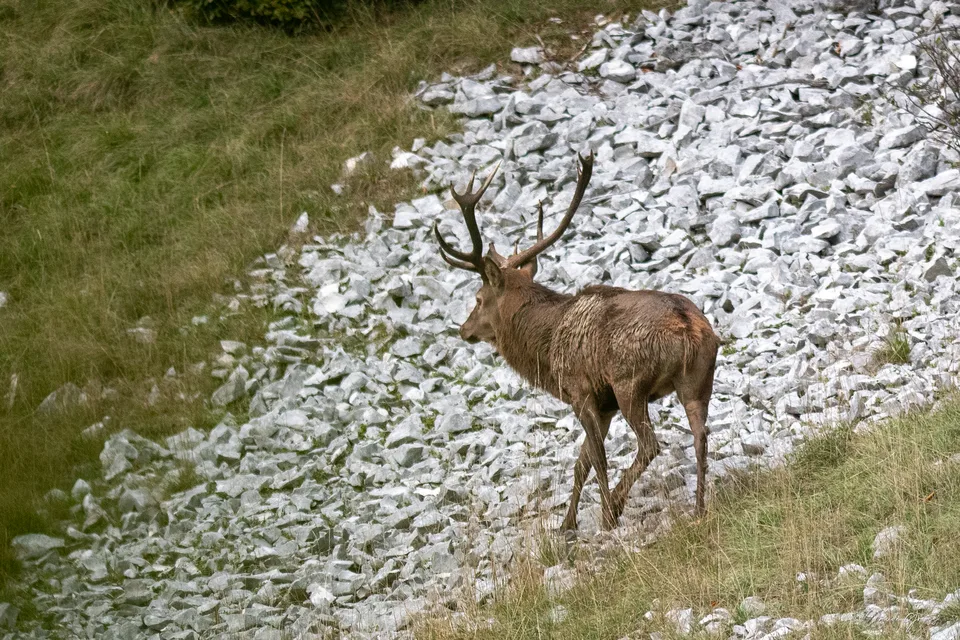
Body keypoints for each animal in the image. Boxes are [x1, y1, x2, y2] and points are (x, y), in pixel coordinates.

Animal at [433, 152, 720, 531]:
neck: (546, 346)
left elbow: (596, 458)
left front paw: (602, 515)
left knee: (650, 445)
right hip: (699, 378)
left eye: (478, 299)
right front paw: (566, 524)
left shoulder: (581, 390)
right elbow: (580, 463)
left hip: (631, 383)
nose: (464, 329)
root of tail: (688, 326)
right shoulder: (604, 406)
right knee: (701, 434)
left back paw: (617, 506)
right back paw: (699, 508)